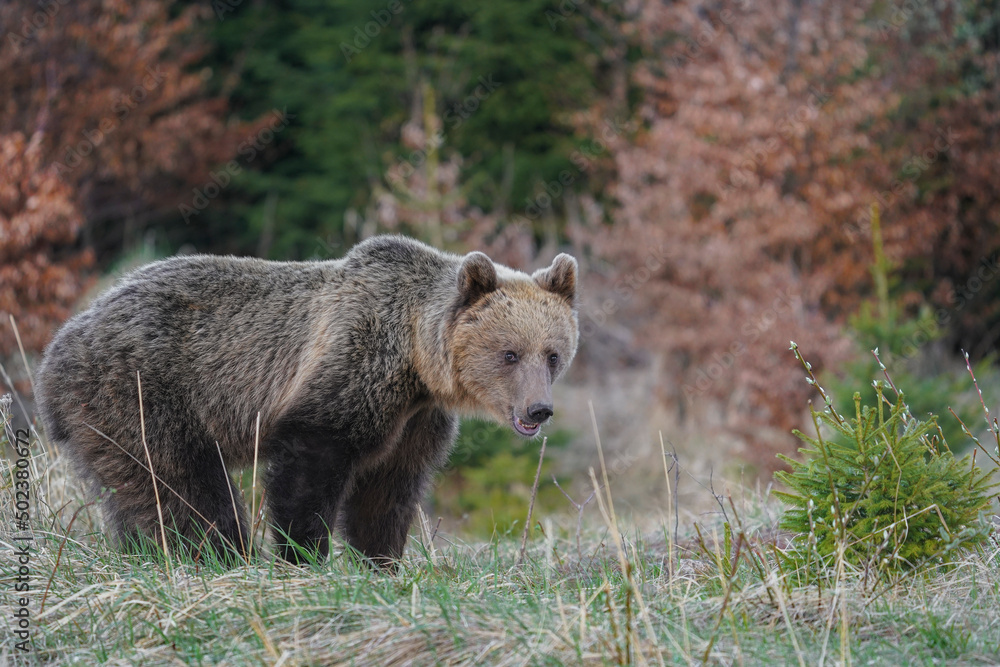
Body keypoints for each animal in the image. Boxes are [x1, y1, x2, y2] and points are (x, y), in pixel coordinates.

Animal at [35, 235, 578, 567]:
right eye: (509, 353)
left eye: (552, 354)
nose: (538, 410)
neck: (416, 363)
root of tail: (56, 350)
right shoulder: (352, 368)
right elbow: (310, 464)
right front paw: (304, 556)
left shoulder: (415, 420)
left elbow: (388, 490)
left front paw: (380, 561)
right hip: (141, 392)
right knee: (184, 487)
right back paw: (221, 557)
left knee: (135, 491)